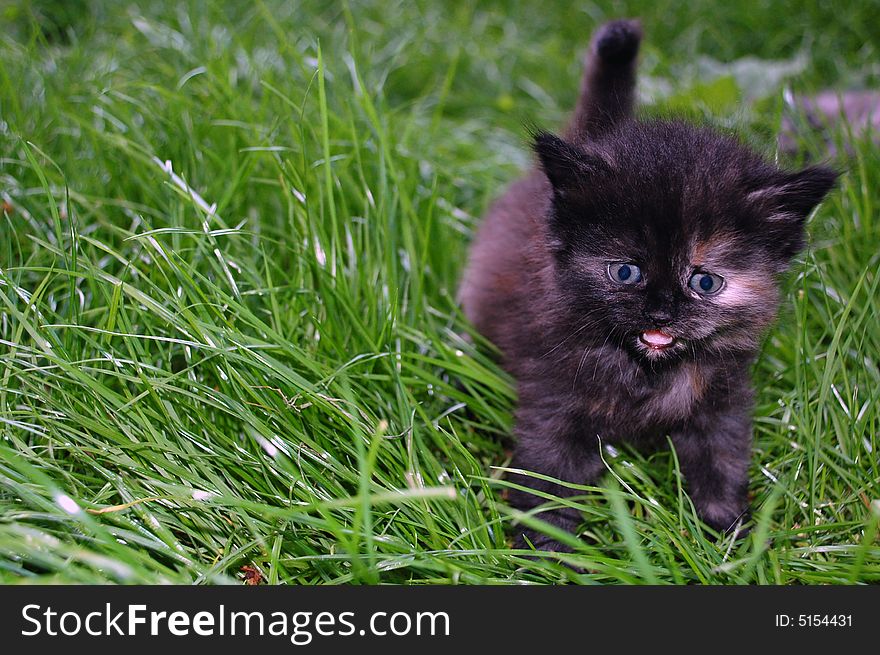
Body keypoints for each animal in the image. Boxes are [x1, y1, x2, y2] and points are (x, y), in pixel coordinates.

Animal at [460, 20, 840, 552]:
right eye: (626, 273)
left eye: (704, 280)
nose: (661, 311)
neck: (647, 376)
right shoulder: (553, 396)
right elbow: (549, 480)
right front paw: (546, 552)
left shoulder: (722, 405)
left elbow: (722, 465)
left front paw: (729, 537)